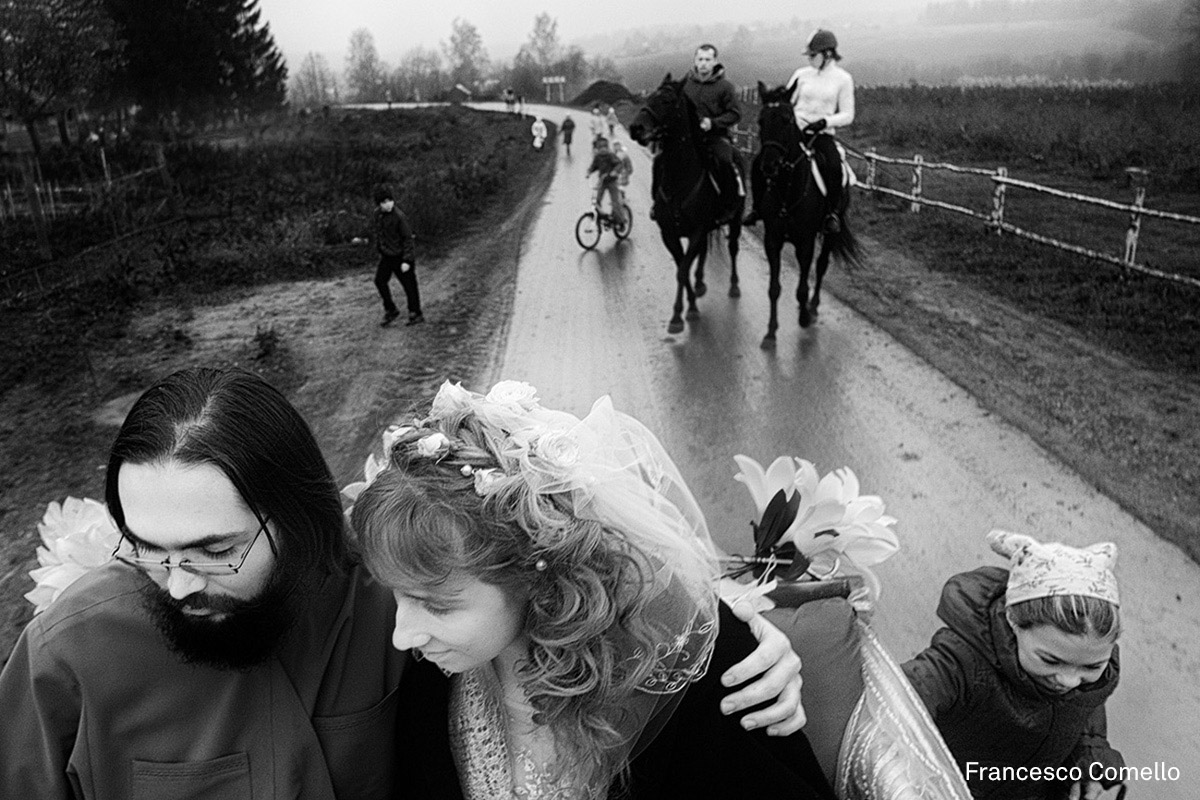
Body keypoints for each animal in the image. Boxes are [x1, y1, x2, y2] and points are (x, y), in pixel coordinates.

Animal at [628, 74, 739, 335]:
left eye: (667, 100)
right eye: (649, 96)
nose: (636, 128)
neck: (680, 179)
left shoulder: (697, 230)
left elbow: (682, 270)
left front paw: (682, 314)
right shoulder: (670, 233)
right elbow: (682, 268)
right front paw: (687, 308)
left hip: (735, 221)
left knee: (733, 249)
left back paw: (733, 286)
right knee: (702, 254)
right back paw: (699, 284)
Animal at [753, 79, 859, 347]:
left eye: (786, 119)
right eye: (761, 120)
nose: (769, 166)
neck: (788, 189)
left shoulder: (805, 243)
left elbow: (802, 287)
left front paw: (804, 316)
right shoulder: (772, 240)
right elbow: (774, 288)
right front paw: (771, 332)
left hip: (831, 232)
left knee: (821, 266)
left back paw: (813, 306)